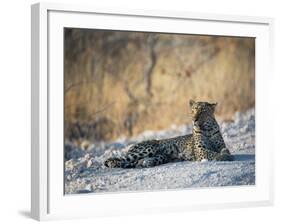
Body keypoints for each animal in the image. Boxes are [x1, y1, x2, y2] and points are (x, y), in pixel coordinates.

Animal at [104, 100, 232, 168]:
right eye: (193, 110)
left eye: (203, 111)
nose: (194, 119)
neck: (207, 129)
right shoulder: (201, 151)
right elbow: (211, 153)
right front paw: (221, 157)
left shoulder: (221, 145)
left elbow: (225, 150)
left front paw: (226, 155)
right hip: (147, 148)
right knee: (121, 159)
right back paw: (113, 163)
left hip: (161, 156)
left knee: (137, 161)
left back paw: (146, 162)